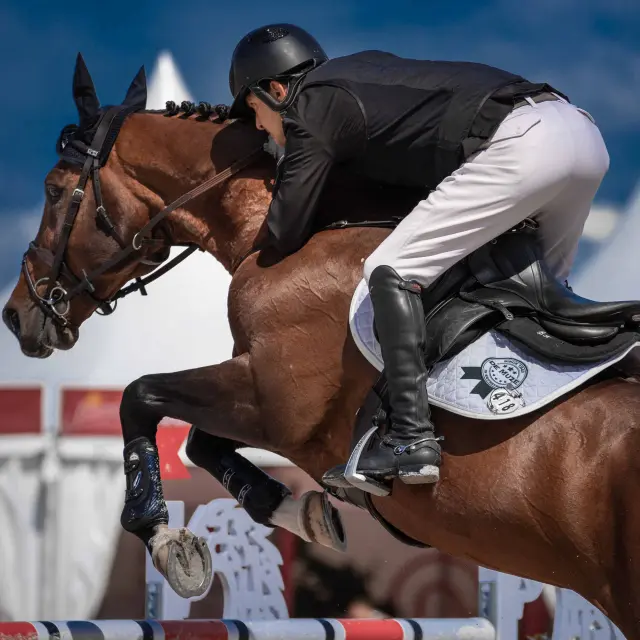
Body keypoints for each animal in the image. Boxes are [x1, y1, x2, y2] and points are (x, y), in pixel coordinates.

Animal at [4, 55, 640, 638]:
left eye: (54, 191)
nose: (16, 315)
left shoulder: (276, 404)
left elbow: (140, 397)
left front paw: (164, 537)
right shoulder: (266, 398)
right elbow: (200, 441)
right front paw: (297, 510)